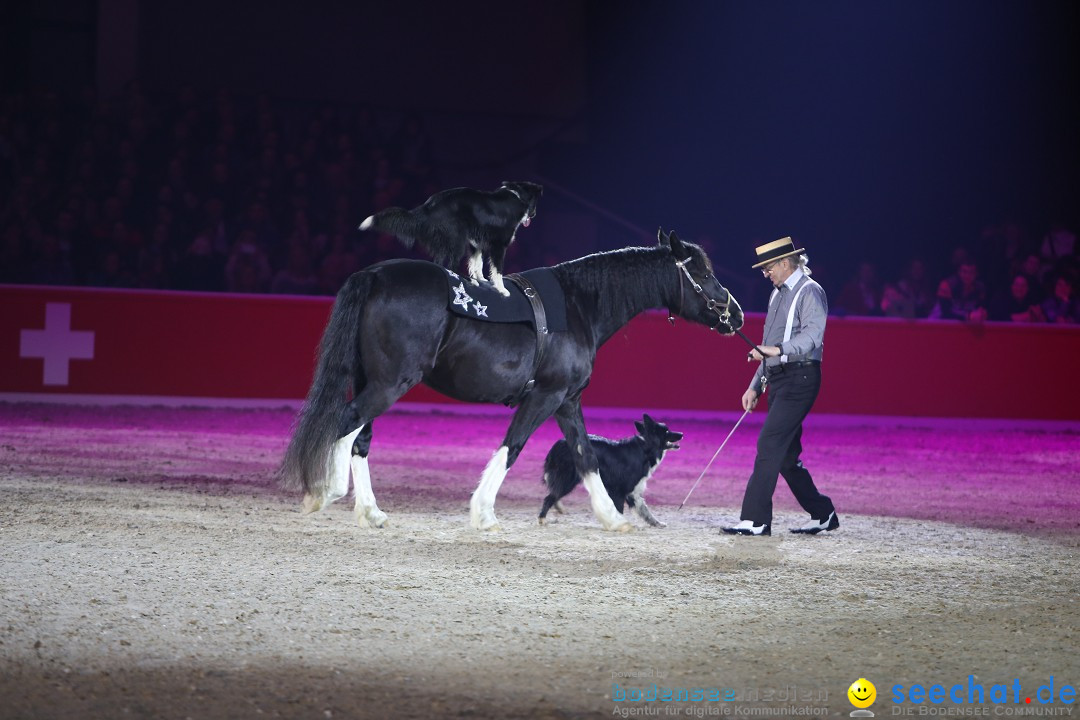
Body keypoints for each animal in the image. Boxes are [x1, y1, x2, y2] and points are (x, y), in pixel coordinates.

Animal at [280, 227, 743, 533]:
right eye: (703, 275)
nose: (735, 314)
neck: (579, 306)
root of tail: (374, 275)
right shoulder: (544, 397)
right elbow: (513, 446)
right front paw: (484, 512)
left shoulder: (568, 400)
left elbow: (586, 456)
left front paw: (611, 517)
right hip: (389, 384)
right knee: (345, 425)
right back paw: (324, 492)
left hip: (374, 380)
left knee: (360, 437)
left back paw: (370, 511)